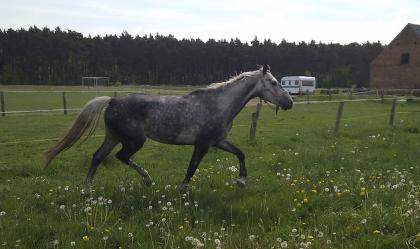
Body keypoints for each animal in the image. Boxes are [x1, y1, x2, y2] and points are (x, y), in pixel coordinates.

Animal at [43, 64, 292, 193]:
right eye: (273, 82)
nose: (289, 102)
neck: (219, 104)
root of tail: (112, 100)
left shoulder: (218, 141)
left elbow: (241, 153)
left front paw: (241, 181)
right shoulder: (202, 144)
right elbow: (191, 168)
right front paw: (181, 191)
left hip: (113, 137)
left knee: (97, 157)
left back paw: (87, 190)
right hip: (133, 141)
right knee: (119, 157)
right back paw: (146, 179)